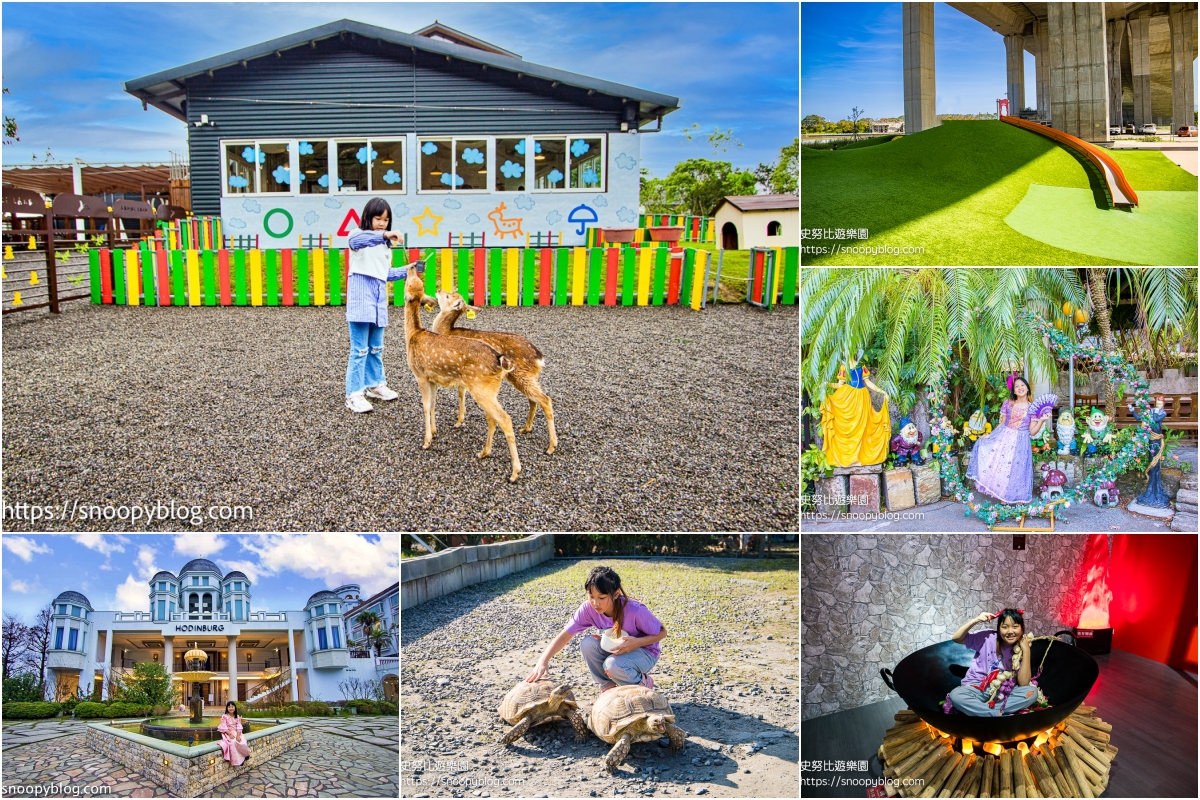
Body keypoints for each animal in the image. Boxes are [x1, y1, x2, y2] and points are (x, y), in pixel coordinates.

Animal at [403, 267, 520, 482]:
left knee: (505, 418)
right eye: (417, 283)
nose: (412, 267)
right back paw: (484, 452)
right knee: (492, 417)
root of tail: (501, 362)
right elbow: (433, 404)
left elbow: (425, 406)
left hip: (481, 388)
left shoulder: (420, 375)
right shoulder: (433, 378)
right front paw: (435, 432)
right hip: (489, 391)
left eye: (410, 283)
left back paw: (515, 473)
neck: (413, 336)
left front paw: (426, 441)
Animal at [434, 289, 559, 455]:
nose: (438, 290)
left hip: (521, 375)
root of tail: (539, 357)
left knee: (545, 399)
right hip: (524, 376)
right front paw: (460, 419)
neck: (446, 331)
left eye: (449, 295)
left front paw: (458, 421)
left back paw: (551, 446)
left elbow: (460, 393)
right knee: (533, 399)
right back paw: (526, 429)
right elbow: (461, 393)